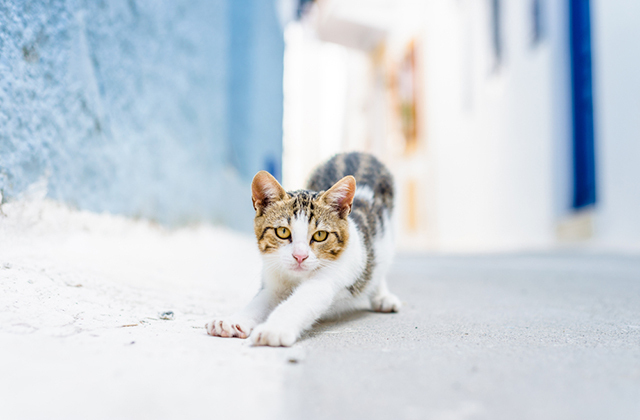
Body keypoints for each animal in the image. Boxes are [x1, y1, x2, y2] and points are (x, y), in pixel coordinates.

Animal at [208, 153, 402, 346]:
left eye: (320, 235)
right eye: (283, 231)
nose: (299, 256)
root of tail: (356, 153)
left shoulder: (327, 277)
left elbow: (300, 301)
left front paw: (274, 329)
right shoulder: (274, 280)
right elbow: (259, 302)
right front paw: (233, 321)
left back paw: (382, 296)